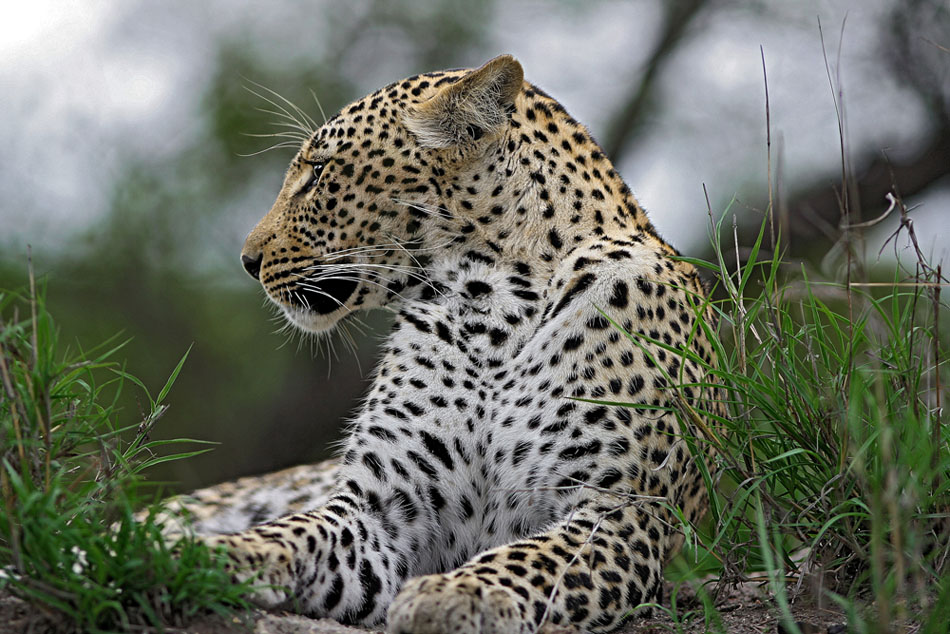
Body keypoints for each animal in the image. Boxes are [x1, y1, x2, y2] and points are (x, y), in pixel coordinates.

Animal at [167, 55, 724, 632]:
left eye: (318, 172)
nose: (247, 261)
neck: (492, 306)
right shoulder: (381, 508)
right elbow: (292, 533)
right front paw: (206, 556)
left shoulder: (623, 509)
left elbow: (533, 559)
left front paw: (460, 594)